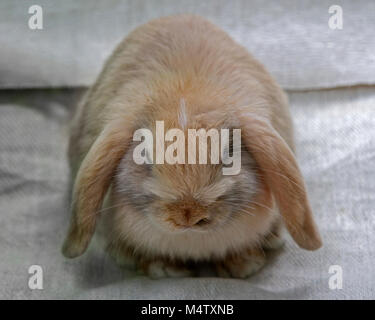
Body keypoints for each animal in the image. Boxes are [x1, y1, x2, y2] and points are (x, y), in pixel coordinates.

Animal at [62, 14, 324, 278]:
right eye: (144, 156)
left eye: (229, 156)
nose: (188, 214)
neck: (185, 93)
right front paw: (165, 268)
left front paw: (243, 265)